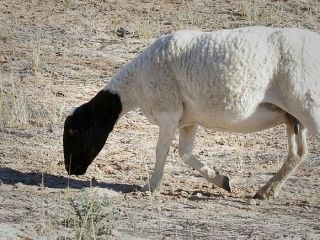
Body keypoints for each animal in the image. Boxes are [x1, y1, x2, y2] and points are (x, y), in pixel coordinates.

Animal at [63, 25, 320, 199]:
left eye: (74, 132)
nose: (72, 170)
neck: (136, 84)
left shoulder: (168, 112)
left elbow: (162, 151)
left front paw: (150, 186)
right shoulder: (187, 119)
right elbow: (184, 153)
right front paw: (222, 180)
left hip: (308, 104)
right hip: (293, 116)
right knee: (298, 153)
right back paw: (266, 191)